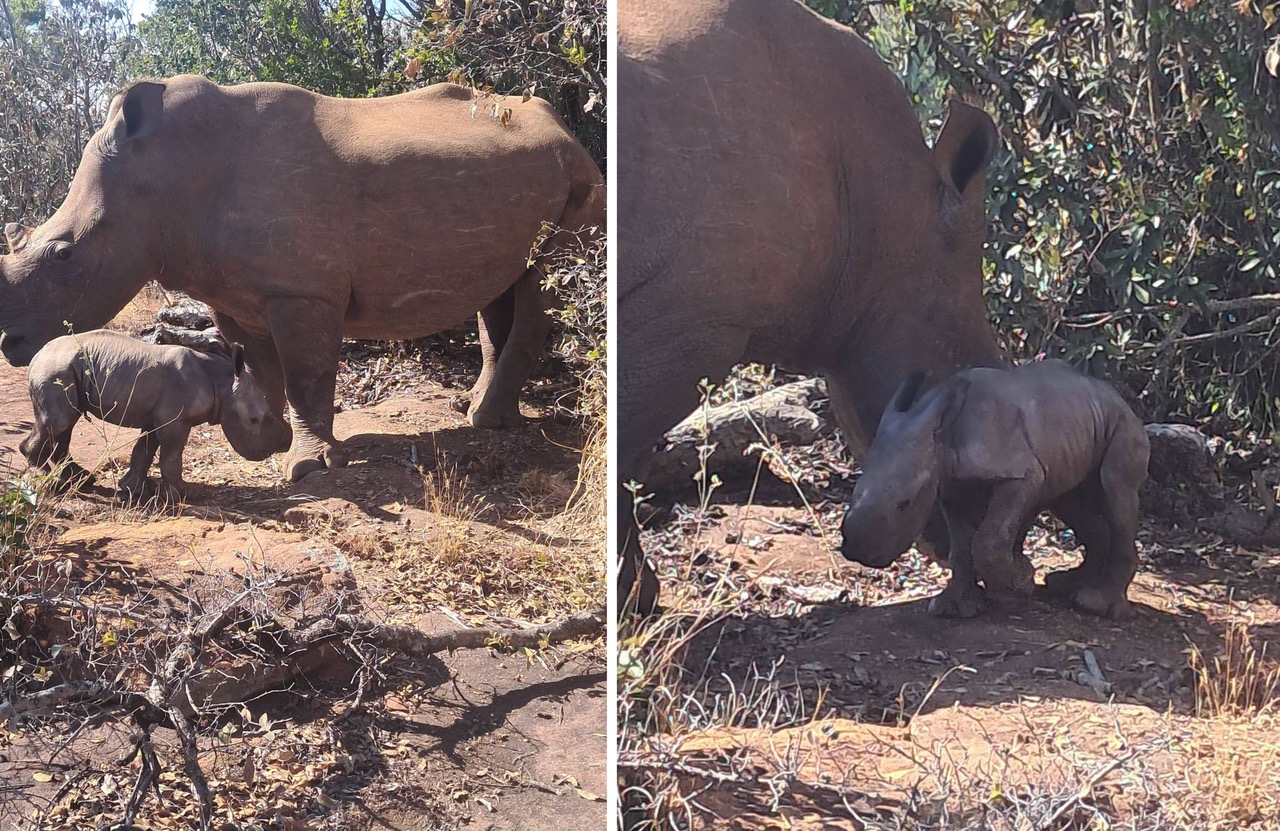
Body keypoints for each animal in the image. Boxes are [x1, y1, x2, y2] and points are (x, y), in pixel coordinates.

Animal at [0, 76, 604, 482]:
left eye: (64, 255)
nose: (12, 345)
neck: (169, 180)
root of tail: (565, 128)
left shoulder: (302, 290)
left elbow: (307, 374)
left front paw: (308, 466)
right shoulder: (236, 293)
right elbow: (263, 368)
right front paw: (263, 436)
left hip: (581, 180)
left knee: (544, 282)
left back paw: (485, 421)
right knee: (502, 285)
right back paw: (474, 409)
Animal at [21, 329, 292, 501]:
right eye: (253, 420)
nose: (273, 449)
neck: (222, 383)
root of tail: (36, 356)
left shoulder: (155, 418)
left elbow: (143, 451)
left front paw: (133, 489)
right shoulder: (175, 421)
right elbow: (171, 455)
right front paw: (184, 494)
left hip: (63, 369)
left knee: (64, 424)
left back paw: (81, 480)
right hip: (56, 370)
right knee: (59, 422)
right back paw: (43, 481)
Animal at [841, 360, 1151, 619]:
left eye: (904, 503)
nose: (855, 550)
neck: (943, 438)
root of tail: (1117, 397)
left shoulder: (1021, 474)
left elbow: (988, 540)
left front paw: (1021, 582)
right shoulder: (949, 486)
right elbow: (960, 547)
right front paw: (953, 607)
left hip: (1124, 427)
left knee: (1116, 493)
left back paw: (1096, 605)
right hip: (1077, 424)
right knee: (1071, 503)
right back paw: (1067, 585)